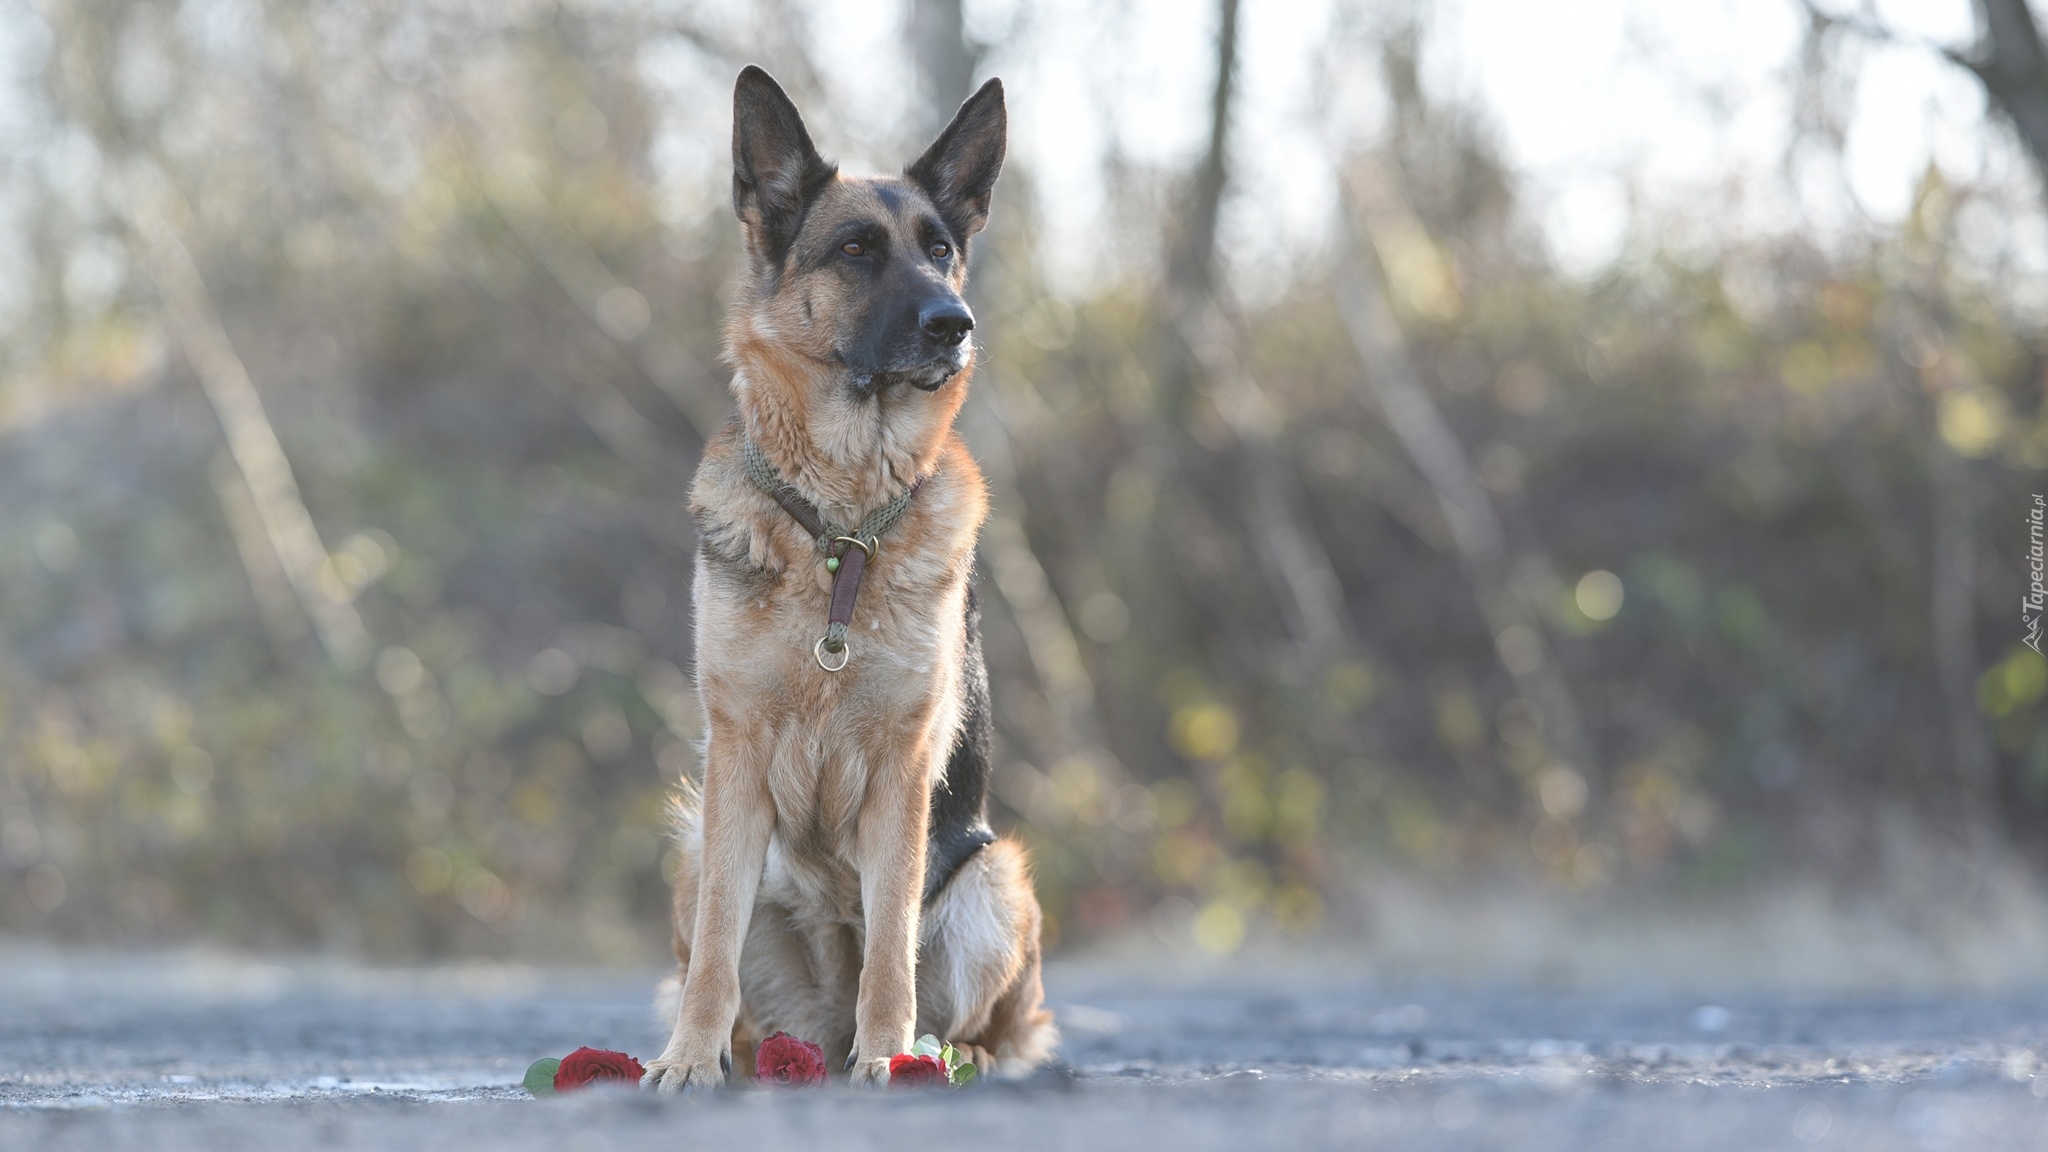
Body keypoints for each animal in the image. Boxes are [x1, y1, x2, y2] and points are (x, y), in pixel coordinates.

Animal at [643, 67, 1064, 1090]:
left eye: (941, 250)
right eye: (857, 250)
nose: (955, 325)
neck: (838, 528)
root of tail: (817, 1036)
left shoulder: (902, 773)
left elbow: (889, 947)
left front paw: (888, 1058)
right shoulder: (736, 760)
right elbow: (714, 950)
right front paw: (687, 1060)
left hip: (997, 877)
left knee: (993, 1021)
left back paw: (938, 1052)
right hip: (692, 845)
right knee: (739, 983)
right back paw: (745, 1050)